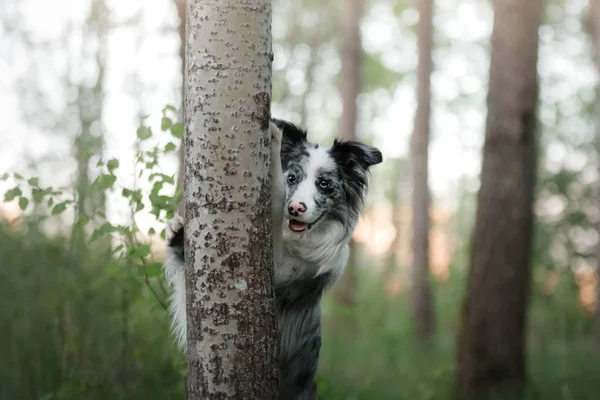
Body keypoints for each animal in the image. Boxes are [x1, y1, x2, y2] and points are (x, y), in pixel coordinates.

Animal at [162, 117, 382, 398]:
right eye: (293, 177)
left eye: (324, 183)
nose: (296, 208)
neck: (293, 238)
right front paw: (178, 234)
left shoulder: (282, 271)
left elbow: (275, 199)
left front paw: (275, 137)